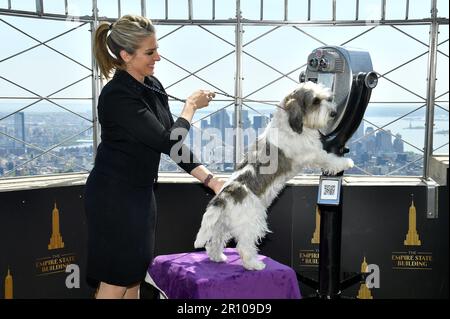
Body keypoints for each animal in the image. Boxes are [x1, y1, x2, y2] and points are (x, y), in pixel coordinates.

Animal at [193, 82, 356, 270]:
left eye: (327, 98)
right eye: (315, 101)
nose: (334, 113)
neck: (290, 123)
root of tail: (224, 196)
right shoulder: (312, 154)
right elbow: (328, 159)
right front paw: (345, 162)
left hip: (222, 224)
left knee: (215, 241)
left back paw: (217, 256)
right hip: (251, 222)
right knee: (244, 246)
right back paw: (254, 264)